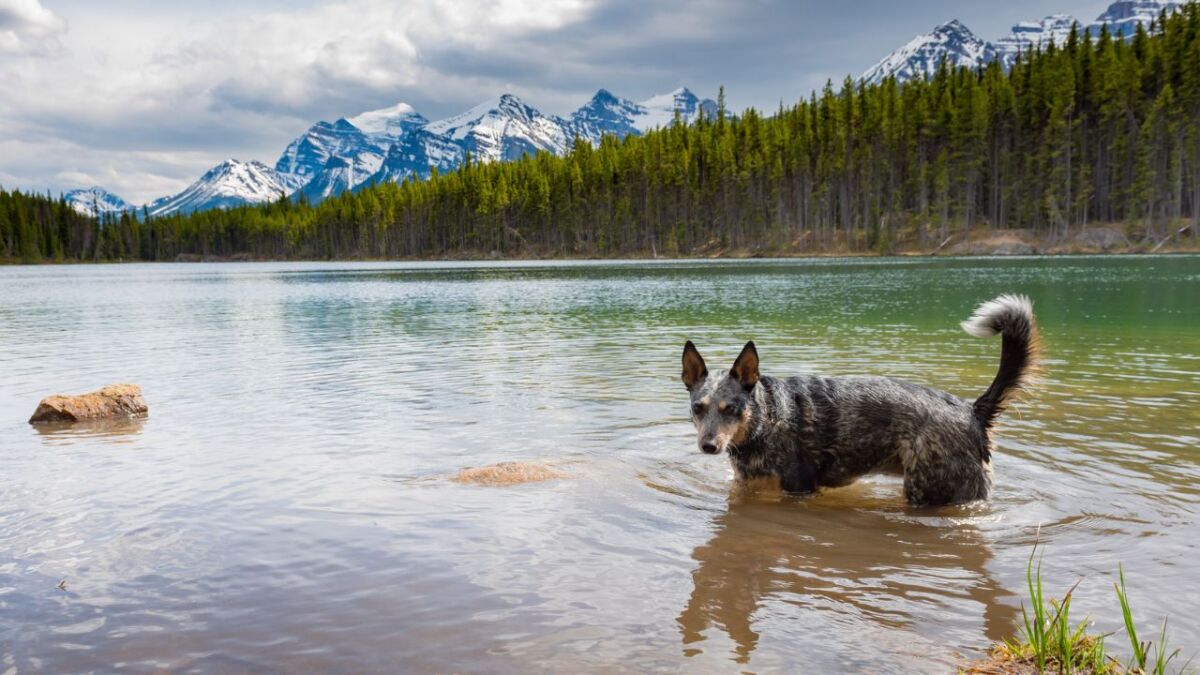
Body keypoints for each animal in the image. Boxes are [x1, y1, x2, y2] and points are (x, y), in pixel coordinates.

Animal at [686, 294, 1041, 504]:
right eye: (697, 408)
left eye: (731, 408)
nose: (708, 446)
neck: (767, 419)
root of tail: (972, 411)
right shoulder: (746, 482)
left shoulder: (799, 490)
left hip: (929, 492)